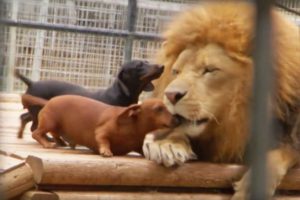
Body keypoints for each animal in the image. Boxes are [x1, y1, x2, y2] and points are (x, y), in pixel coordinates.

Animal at [142, 1, 300, 198]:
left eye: (210, 70)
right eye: (176, 71)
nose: (170, 95)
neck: (237, 122)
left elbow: (285, 150)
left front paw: (252, 187)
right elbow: (180, 131)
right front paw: (167, 145)